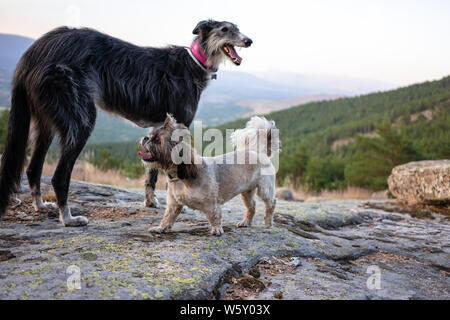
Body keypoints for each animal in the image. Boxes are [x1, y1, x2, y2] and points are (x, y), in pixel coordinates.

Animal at [0, 20, 251, 226]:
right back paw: (69, 219)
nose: (249, 40)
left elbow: (151, 171)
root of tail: (35, 51)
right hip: (80, 119)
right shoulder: (179, 125)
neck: (196, 61)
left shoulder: (158, 127)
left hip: (46, 122)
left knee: (33, 168)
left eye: (237, 28)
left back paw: (41, 206)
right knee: (59, 176)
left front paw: (150, 202)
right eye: (225, 29)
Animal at [139, 114, 280, 235]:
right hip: (246, 193)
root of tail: (260, 152)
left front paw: (217, 229)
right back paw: (246, 222)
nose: (145, 138)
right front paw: (160, 228)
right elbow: (167, 217)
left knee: (271, 204)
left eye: (157, 140)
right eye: (150, 136)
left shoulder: (211, 203)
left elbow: (214, 215)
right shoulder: (174, 204)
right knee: (252, 206)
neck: (181, 178)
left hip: (265, 189)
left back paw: (268, 223)